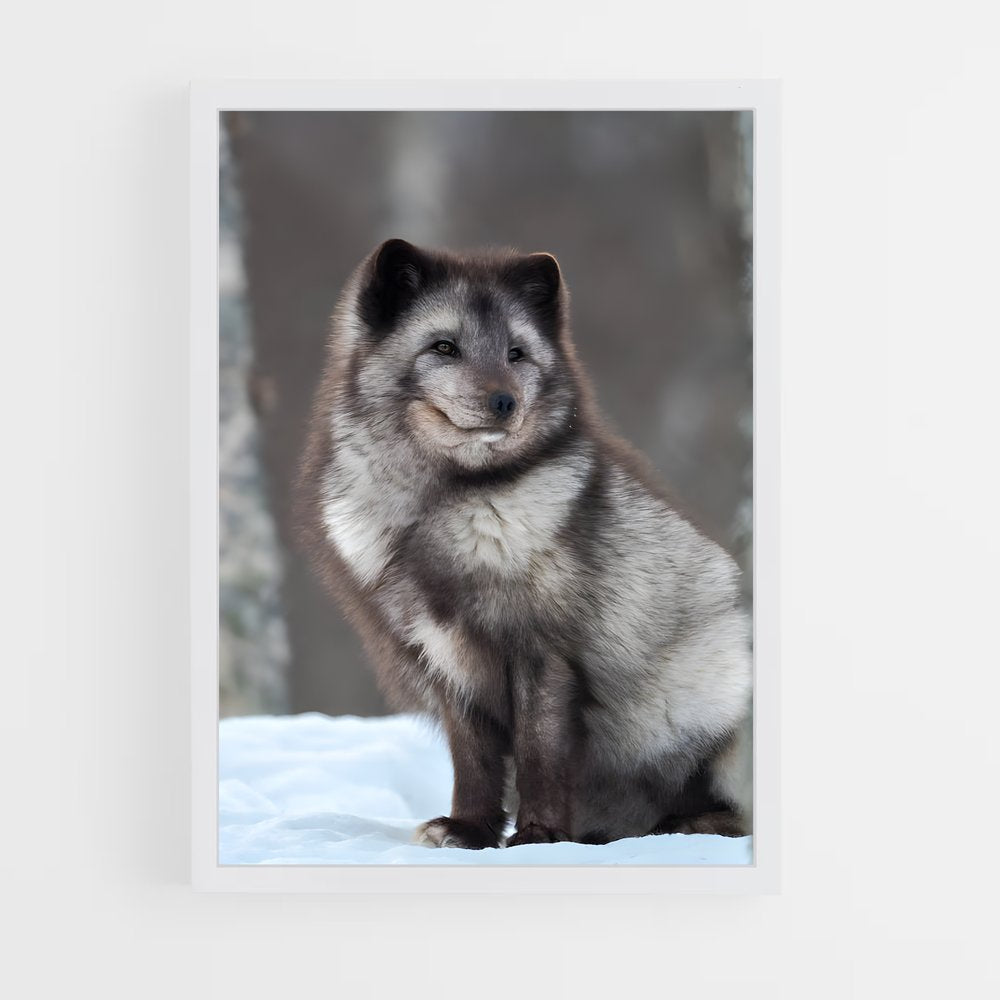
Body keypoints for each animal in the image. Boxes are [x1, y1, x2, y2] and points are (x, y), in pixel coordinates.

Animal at [295, 238, 752, 848]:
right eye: (444, 347)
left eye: (516, 354)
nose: (504, 402)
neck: (444, 502)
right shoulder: (443, 655)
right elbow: (472, 758)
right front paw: (468, 829)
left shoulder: (544, 648)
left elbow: (539, 750)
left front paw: (538, 835)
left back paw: (686, 824)